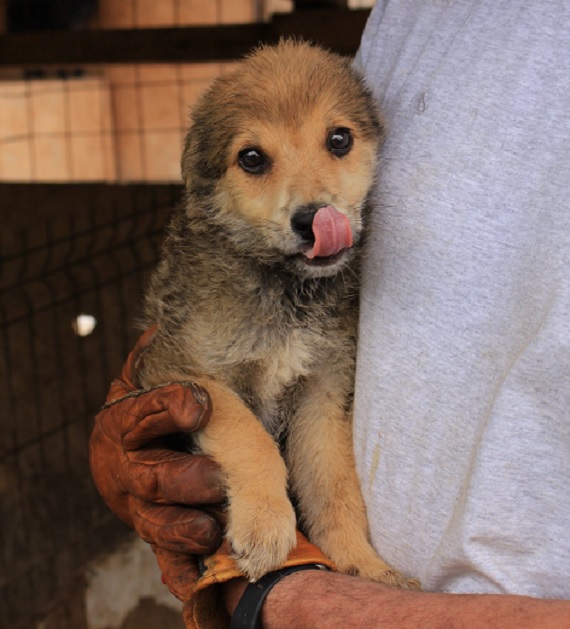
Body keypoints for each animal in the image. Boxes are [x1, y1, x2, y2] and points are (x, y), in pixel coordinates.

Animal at [140, 40, 414, 588]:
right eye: (251, 158)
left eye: (339, 139)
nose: (314, 220)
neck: (287, 294)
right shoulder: (181, 372)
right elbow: (248, 435)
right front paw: (265, 526)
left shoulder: (323, 392)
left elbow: (335, 486)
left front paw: (363, 564)